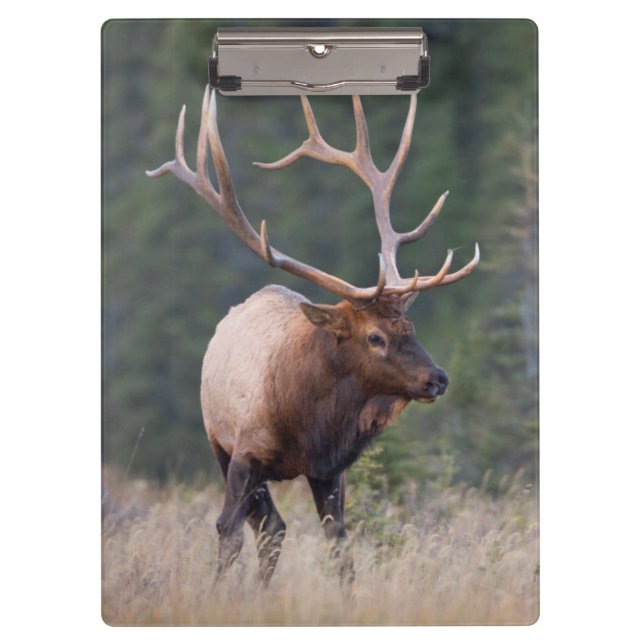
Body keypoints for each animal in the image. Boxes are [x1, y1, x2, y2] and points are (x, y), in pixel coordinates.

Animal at [147, 86, 479, 585]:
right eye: (375, 337)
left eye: (411, 327)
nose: (437, 378)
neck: (307, 422)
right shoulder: (243, 452)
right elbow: (227, 531)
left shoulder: (330, 470)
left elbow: (339, 547)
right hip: (217, 441)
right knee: (265, 526)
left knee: (274, 528)